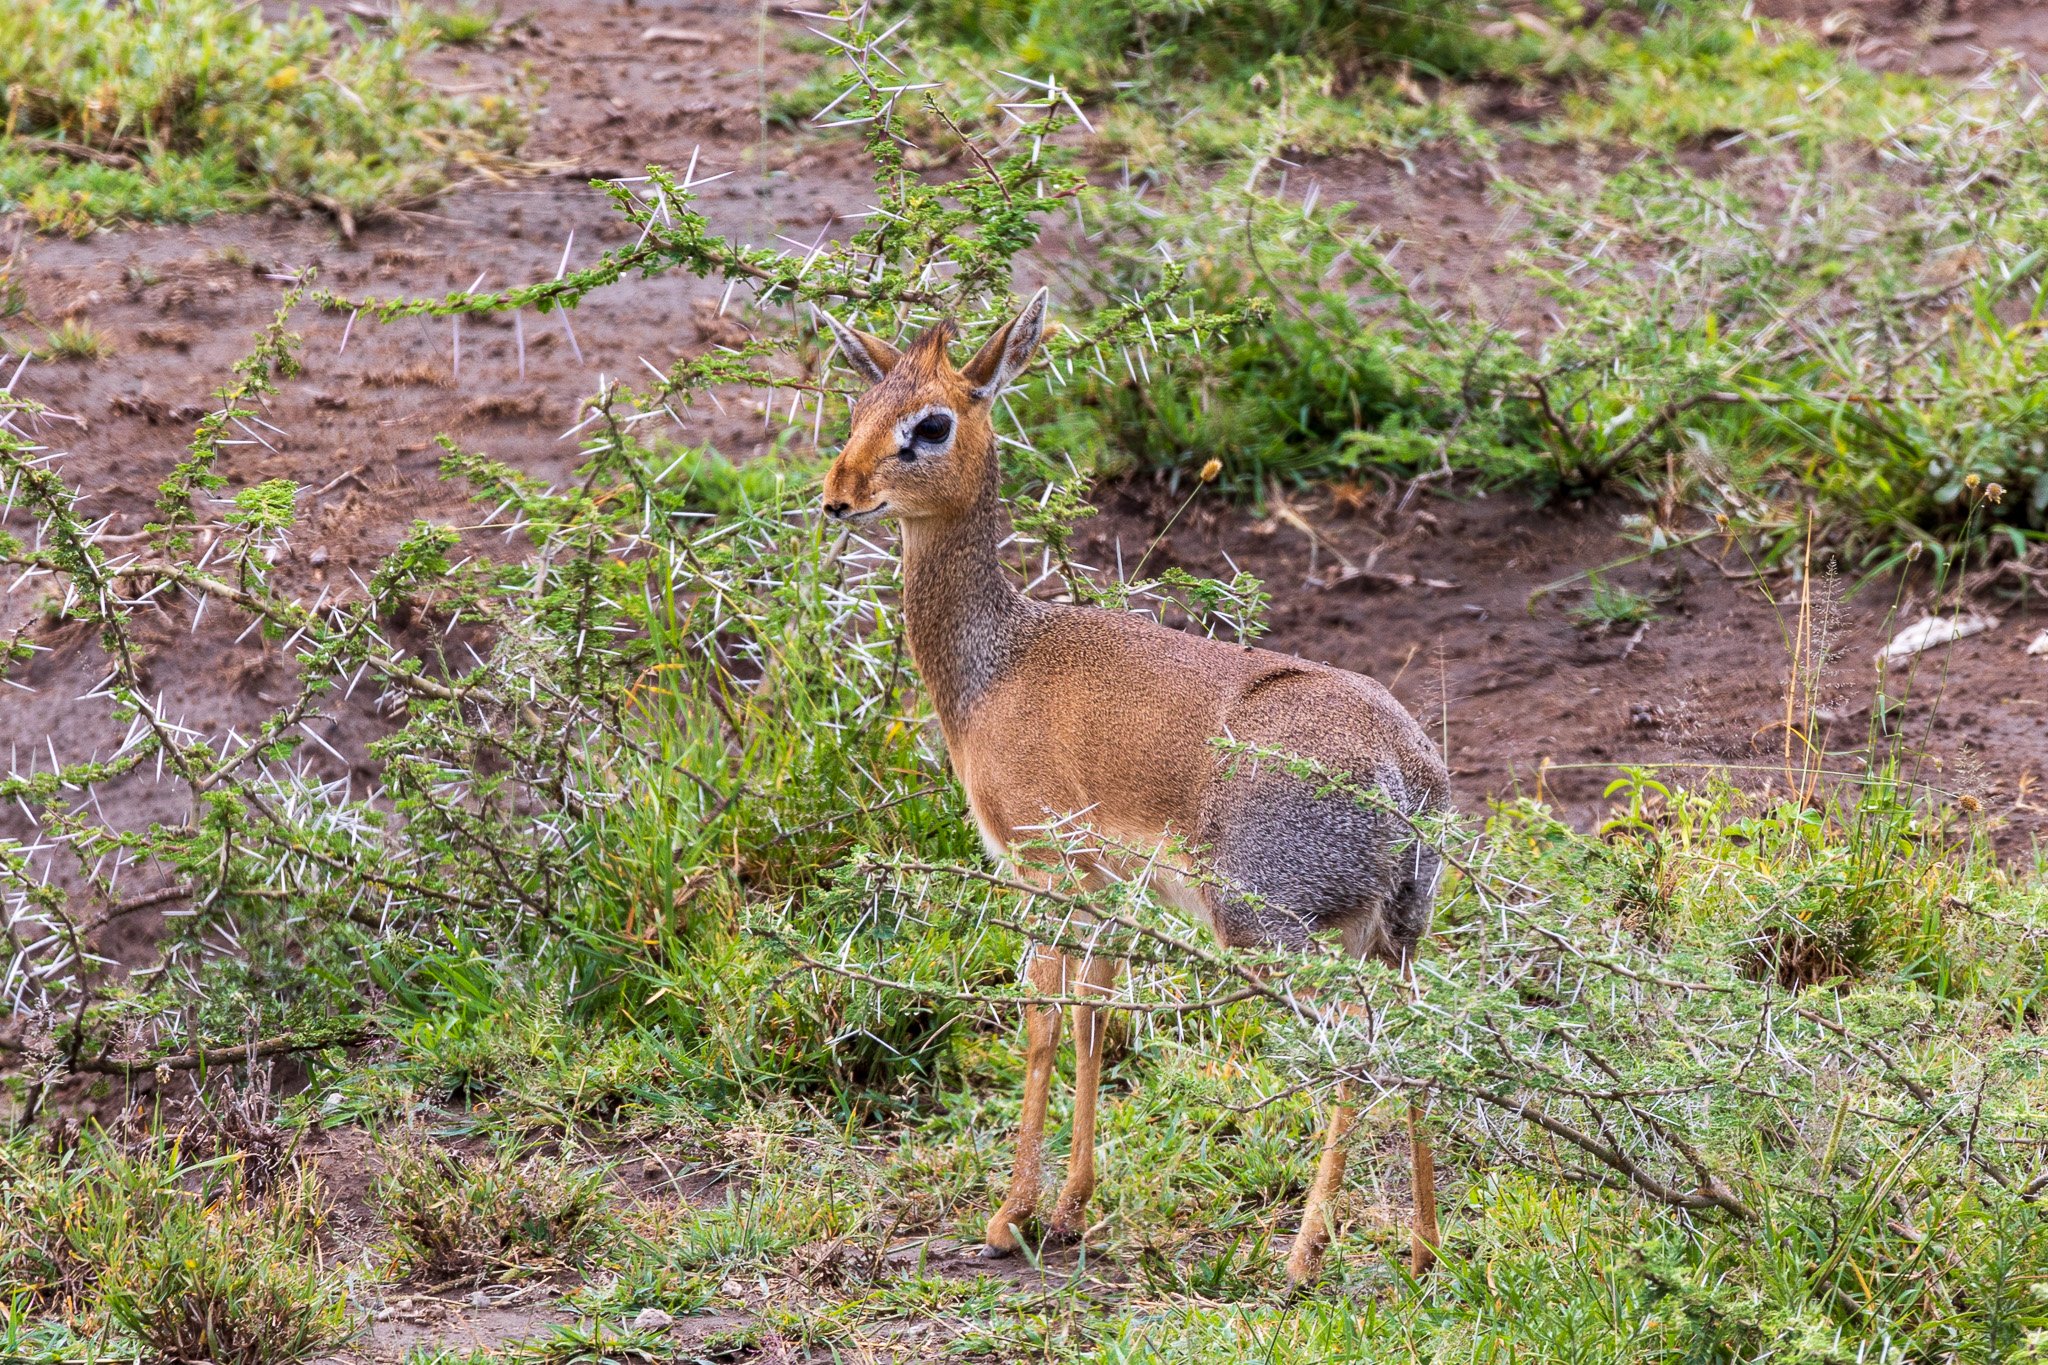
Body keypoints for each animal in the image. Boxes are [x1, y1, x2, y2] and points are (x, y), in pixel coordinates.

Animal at [823, 294, 1449, 1285]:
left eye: (932, 423)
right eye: (858, 407)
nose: (838, 495)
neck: (997, 665)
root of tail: (1403, 767)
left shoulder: (1039, 865)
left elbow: (1042, 1018)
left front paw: (1010, 1214)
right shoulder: (1110, 886)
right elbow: (1094, 1013)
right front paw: (1071, 1208)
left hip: (1269, 931)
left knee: (1356, 1044)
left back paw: (1303, 1254)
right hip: (1390, 935)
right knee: (1421, 1035)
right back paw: (1422, 1246)